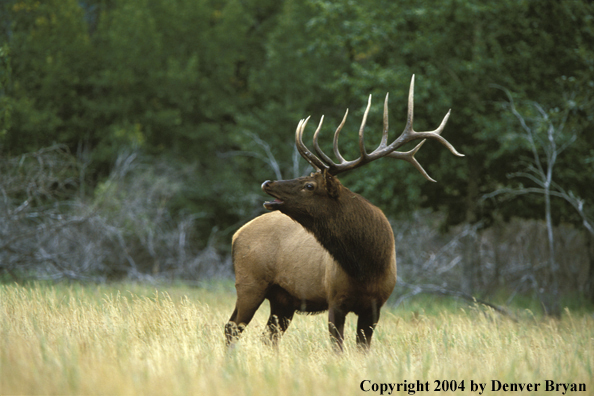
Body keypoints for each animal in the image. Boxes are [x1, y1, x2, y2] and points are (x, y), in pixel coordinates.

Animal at [224, 76, 460, 350]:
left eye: (309, 185)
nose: (267, 183)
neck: (366, 266)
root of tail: (236, 235)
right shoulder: (335, 299)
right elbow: (338, 347)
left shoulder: (375, 306)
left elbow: (362, 348)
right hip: (249, 283)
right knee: (232, 328)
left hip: (282, 299)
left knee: (267, 336)